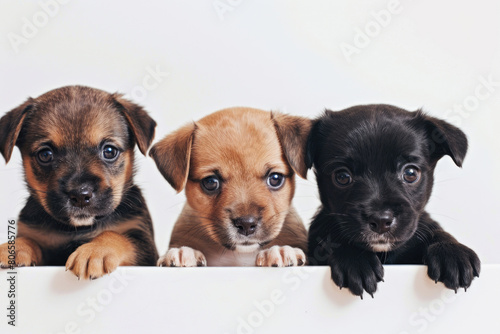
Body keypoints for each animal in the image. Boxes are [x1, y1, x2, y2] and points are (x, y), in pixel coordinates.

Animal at [0, 85, 158, 280]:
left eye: (109, 151)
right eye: (45, 154)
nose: (80, 195)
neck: (76, 229)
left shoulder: (145, 246)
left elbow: (117, 235)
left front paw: (95, 251)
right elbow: (29, 239)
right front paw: (13, 248)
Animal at [306, 104, 482, 298]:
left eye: (410, 173)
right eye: (342, 176)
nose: (381, 220)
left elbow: (435, 231)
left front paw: (452, 251)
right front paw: (355, 260)